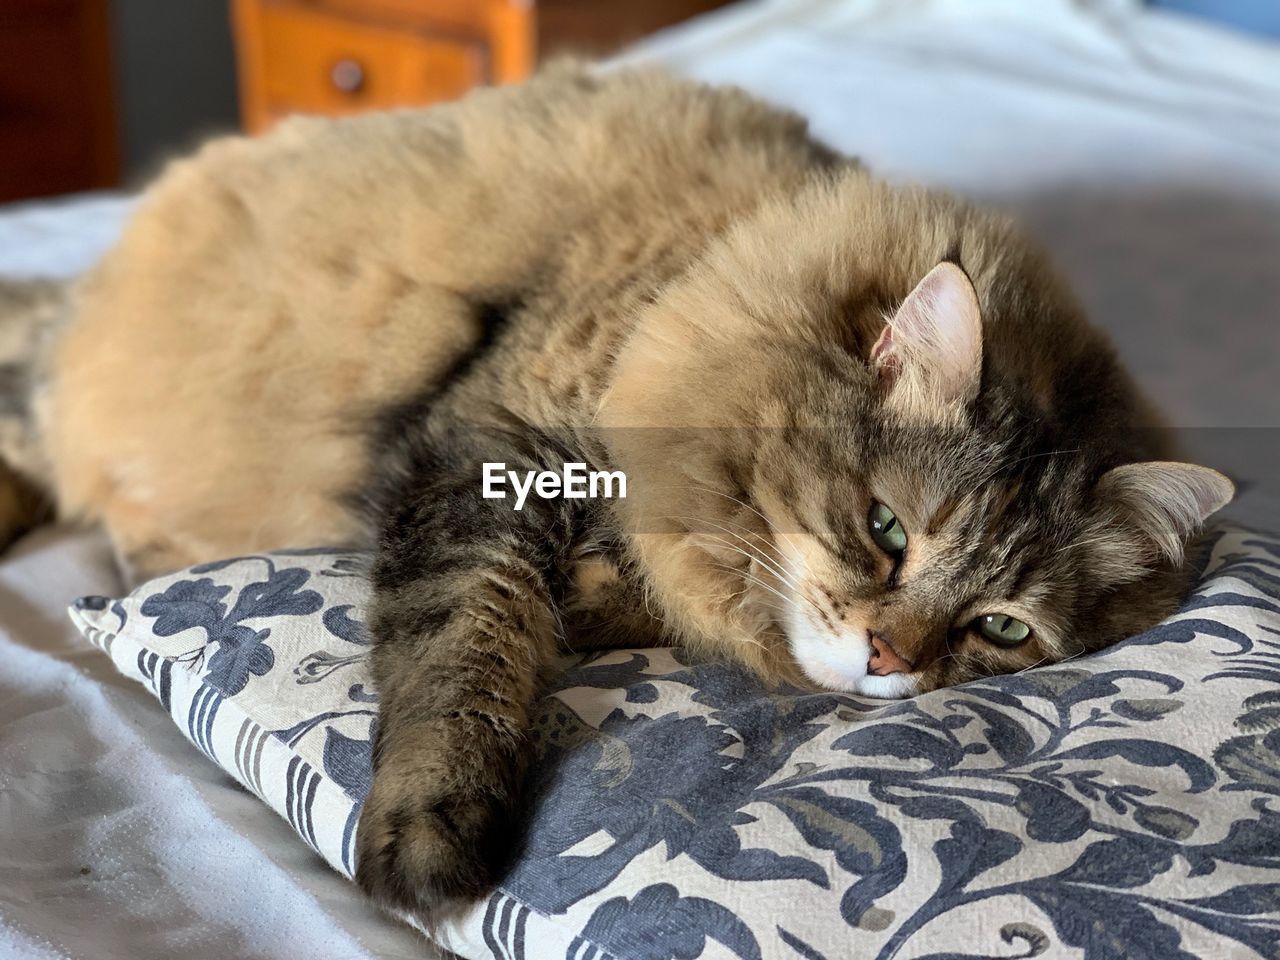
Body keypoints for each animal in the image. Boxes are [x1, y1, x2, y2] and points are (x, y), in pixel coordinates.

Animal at [0, 64, 1233, 921]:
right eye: (885, 530)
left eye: (1000, 628)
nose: (891, 660)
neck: (702, 278)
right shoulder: (486, 456)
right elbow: (465, 648)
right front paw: (429, 841)